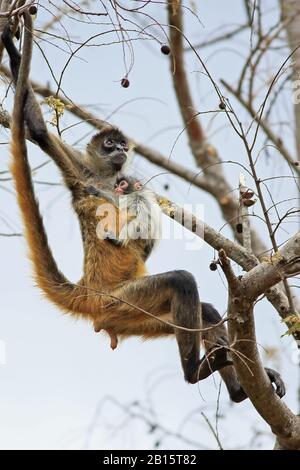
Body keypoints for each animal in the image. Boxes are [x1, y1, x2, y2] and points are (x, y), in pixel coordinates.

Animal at [4, 10, 286, 400]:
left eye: (123, 145)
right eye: (110, 144)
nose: (122, 150)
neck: (107, 179)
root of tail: (87, 290)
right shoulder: (81, 173)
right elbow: (39, 132)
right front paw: (10, 43)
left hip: (131, 315)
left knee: (205, 309)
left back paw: (235, 390)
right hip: (119, 301)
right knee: (181, 281)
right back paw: (193, 373)